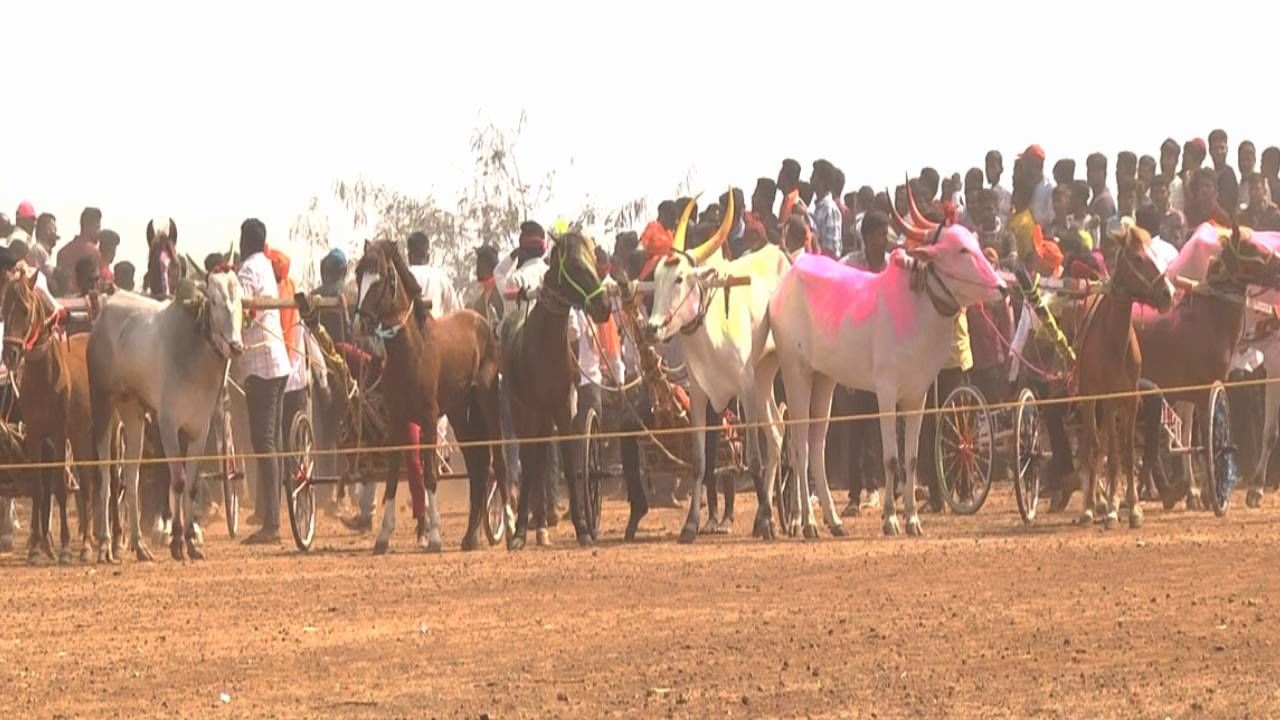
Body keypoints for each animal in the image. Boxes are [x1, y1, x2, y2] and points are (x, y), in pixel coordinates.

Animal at [0, 269, 107, 561]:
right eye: (3, 308)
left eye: (25, 310)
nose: (10, 354)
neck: (45, 376)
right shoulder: (36, 434)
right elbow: (39, 487)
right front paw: (36, 548)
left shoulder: (59, 433)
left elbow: (59, 485)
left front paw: (66, 546)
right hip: (82, 435)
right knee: (88, 483)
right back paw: (88, 542)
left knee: (105, 482)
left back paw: (104, 543)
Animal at [355, 239, 509, 548]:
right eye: (358, 276)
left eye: (381, 277)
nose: (362, 323)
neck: (413, 351)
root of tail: (484, 323)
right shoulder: (397, 421)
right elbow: (392, 477)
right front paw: (383, 536)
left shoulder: (428, 419)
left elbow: (429, 475)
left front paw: (435, 535)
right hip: (462, 416)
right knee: (477, 466)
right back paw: (470, 537)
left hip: (487, 406)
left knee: (497, 460)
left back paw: (510, 527)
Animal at [501, 233, 611, 545]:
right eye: (574, 264)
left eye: (593, 259)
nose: (604, 306)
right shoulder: (530, 411)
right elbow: (529, 464)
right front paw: (518, 533)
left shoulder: (562, 409)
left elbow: (568, 462)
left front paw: (583, 528)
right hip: (522, 413)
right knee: (531, 460)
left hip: (545, 417)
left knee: (542, 461)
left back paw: (542, 524)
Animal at [1075, 224, 1172, 527]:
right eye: (1139, 259)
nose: (1168, 293)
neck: (1114, 340)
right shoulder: (1107, 398)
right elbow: (1111, 455)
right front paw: (1110, 508)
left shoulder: (1129, 398)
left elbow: (1127, 454)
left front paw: (1133, 507)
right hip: (1089, 398)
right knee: (1093, 446)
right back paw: (1091, 506)